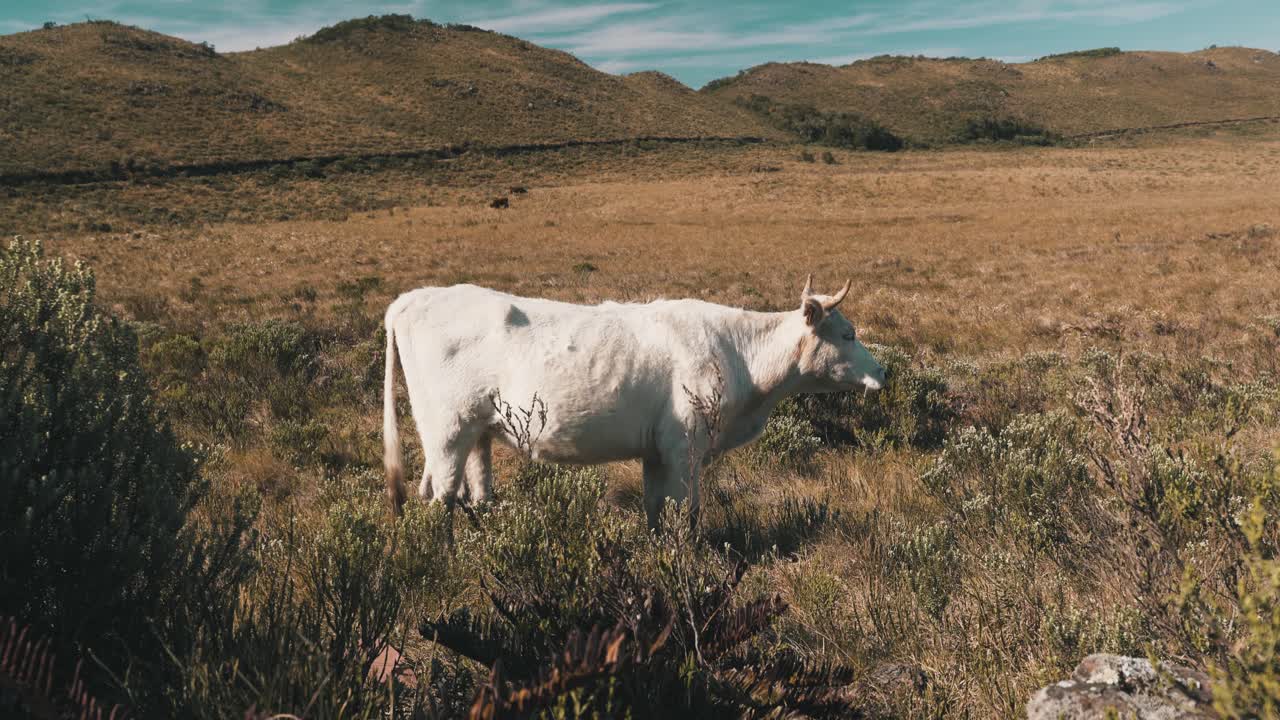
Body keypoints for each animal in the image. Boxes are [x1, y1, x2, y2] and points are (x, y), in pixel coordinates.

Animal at [383, 276, 885, 528]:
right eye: (848, 333)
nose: (883, 371)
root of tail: (412, 299)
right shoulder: (685, 446)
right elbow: (687, 512)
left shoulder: (656, 451)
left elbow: (656, 510)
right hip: (447, 431)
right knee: (442, 500)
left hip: (477, 433)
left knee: (475, 494)